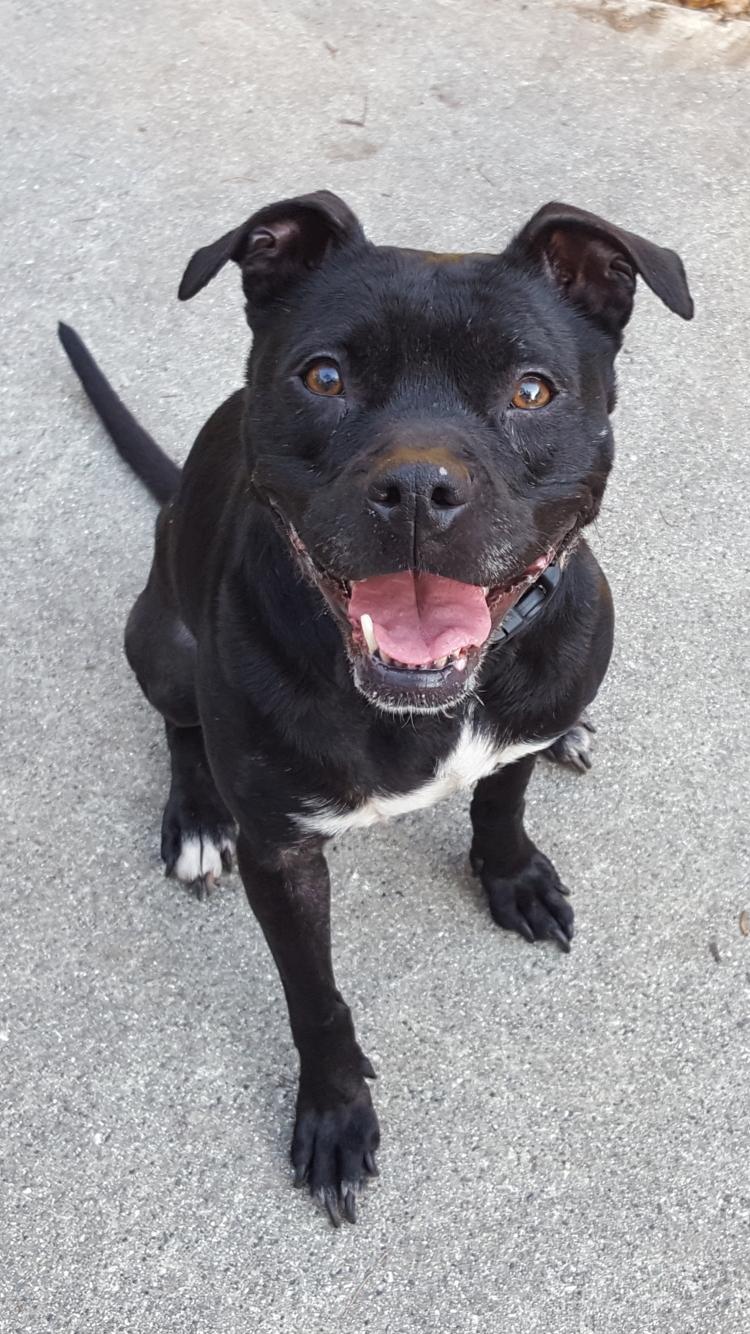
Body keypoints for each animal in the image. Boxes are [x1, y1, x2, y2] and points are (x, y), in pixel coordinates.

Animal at [58, 190, 688, 1227]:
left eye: (531, 391)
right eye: (325, 377)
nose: (419, 489)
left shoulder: (518, 722)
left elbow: (501, 797)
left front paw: (512, 874)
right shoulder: (282, 853)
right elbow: (313, 996)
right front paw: (335, 1112)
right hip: (161, 643)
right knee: (181, 726)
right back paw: (195, 817)